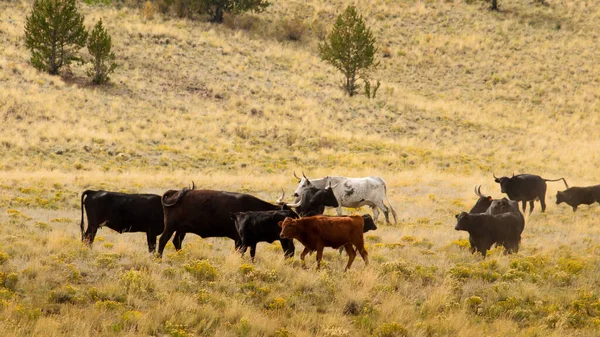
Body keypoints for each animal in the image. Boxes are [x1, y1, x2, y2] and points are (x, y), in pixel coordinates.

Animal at [159, 185, 290, 256]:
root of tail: (174, 192)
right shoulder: (239, 240)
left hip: (181, 229)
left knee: (176, 241)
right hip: (170, 227)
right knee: (163, 240)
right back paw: (159, 258)